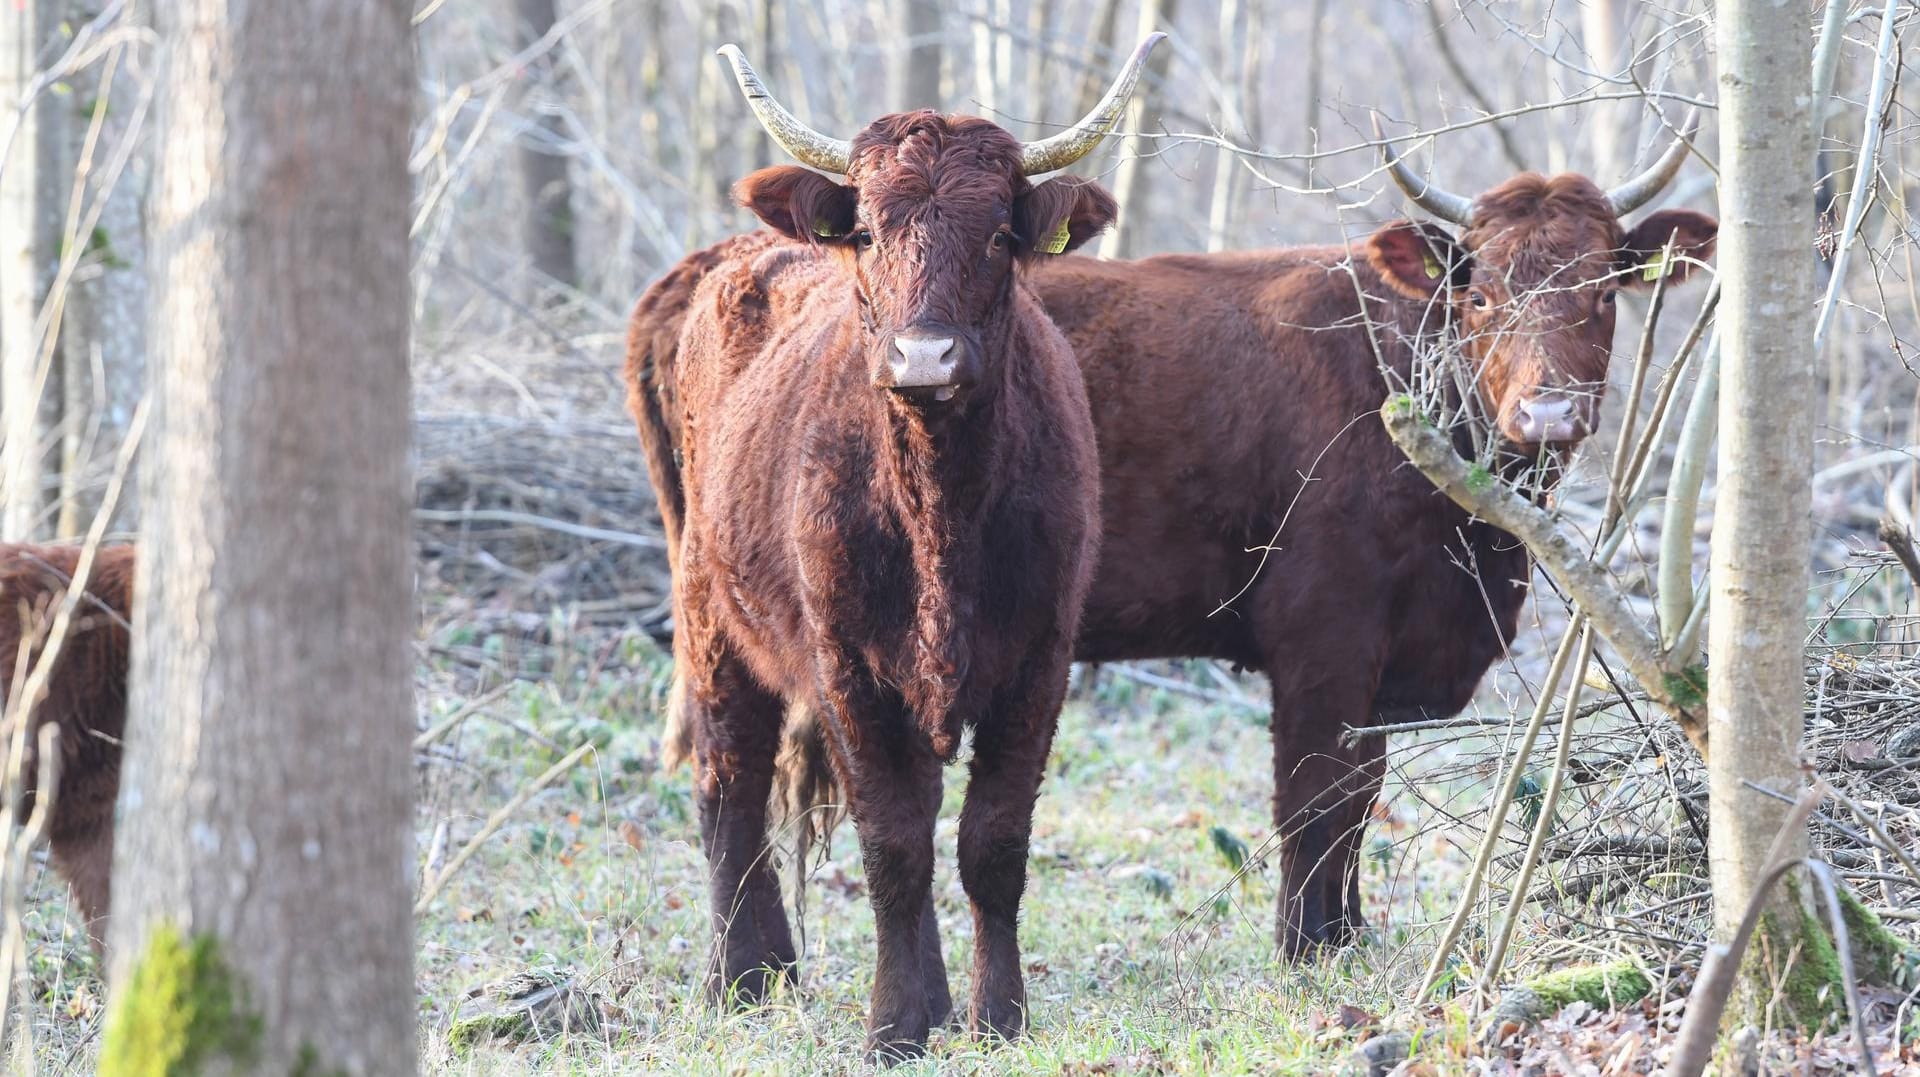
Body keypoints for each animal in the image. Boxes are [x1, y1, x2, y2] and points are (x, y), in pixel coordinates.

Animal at [641, 37, 1152, 1052]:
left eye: (997, 235)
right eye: (872, 232)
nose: (925, 358)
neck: (939, 508)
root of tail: (731, 257)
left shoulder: (1041, 658)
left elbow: (989, 841)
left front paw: (995, 1013)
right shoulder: (848, 663)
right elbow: (893, 843)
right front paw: (896, 1024)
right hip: (709, 614)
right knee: (730, 782)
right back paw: (741, 977)